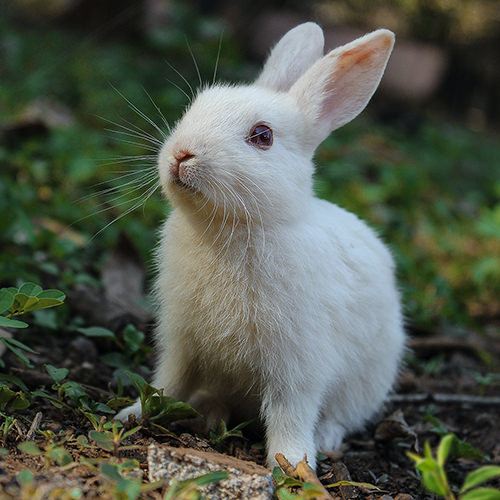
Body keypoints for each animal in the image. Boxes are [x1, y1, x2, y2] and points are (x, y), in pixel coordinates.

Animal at [117, 22, 406, 468]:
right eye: (195, 107)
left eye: (262, 136)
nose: (182, 154)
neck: (232, 228)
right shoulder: (181, 341)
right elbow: (168, 382)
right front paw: (133, 414)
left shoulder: (297, 364)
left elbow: (290, 413)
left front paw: (293, 464)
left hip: (367, 381)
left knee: (340, 416)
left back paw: (325, 440)